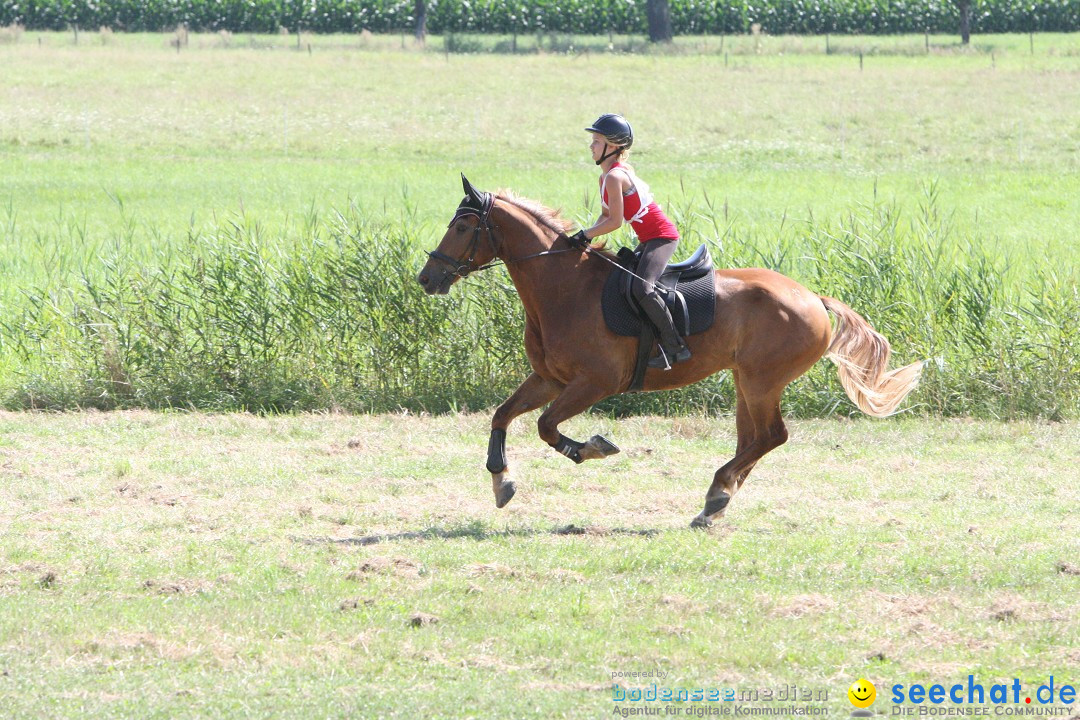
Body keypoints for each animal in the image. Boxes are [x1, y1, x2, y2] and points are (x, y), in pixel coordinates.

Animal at [416, 179, 924, 528]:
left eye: (462, 225)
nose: (427, 278)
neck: (562, 287)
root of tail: (814, 298)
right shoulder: (550, 379)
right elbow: (503, 415)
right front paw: (501, 481)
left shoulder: (595, 382)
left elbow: (545, 426)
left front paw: (591, 449)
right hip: (747, 381)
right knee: (753, 439)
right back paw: (716, 501)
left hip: (762, 380)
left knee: (771, 436)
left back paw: (716, 495)